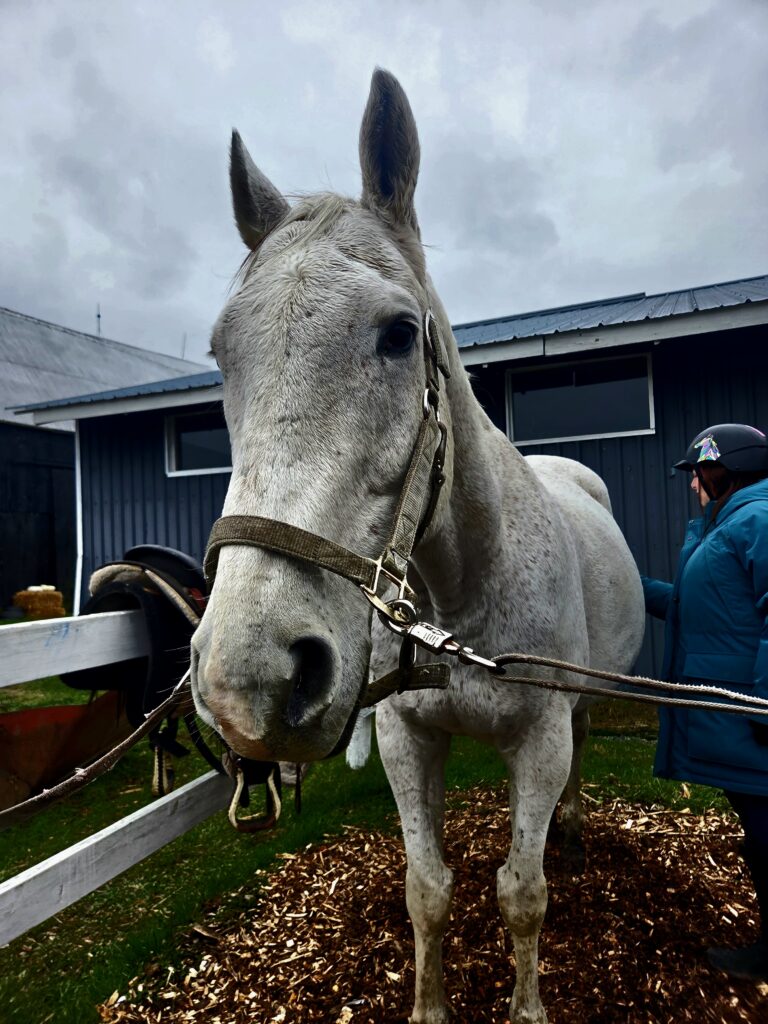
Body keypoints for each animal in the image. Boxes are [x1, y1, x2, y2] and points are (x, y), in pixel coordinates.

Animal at [191, 69, 645, 1024]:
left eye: (400, 333)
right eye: (220, 354)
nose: (249, 679)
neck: (455, 595)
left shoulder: (540, 738)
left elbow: (523, 893)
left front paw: (528, 1005)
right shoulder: (406, 739)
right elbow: (428, 890)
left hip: (580, 705)